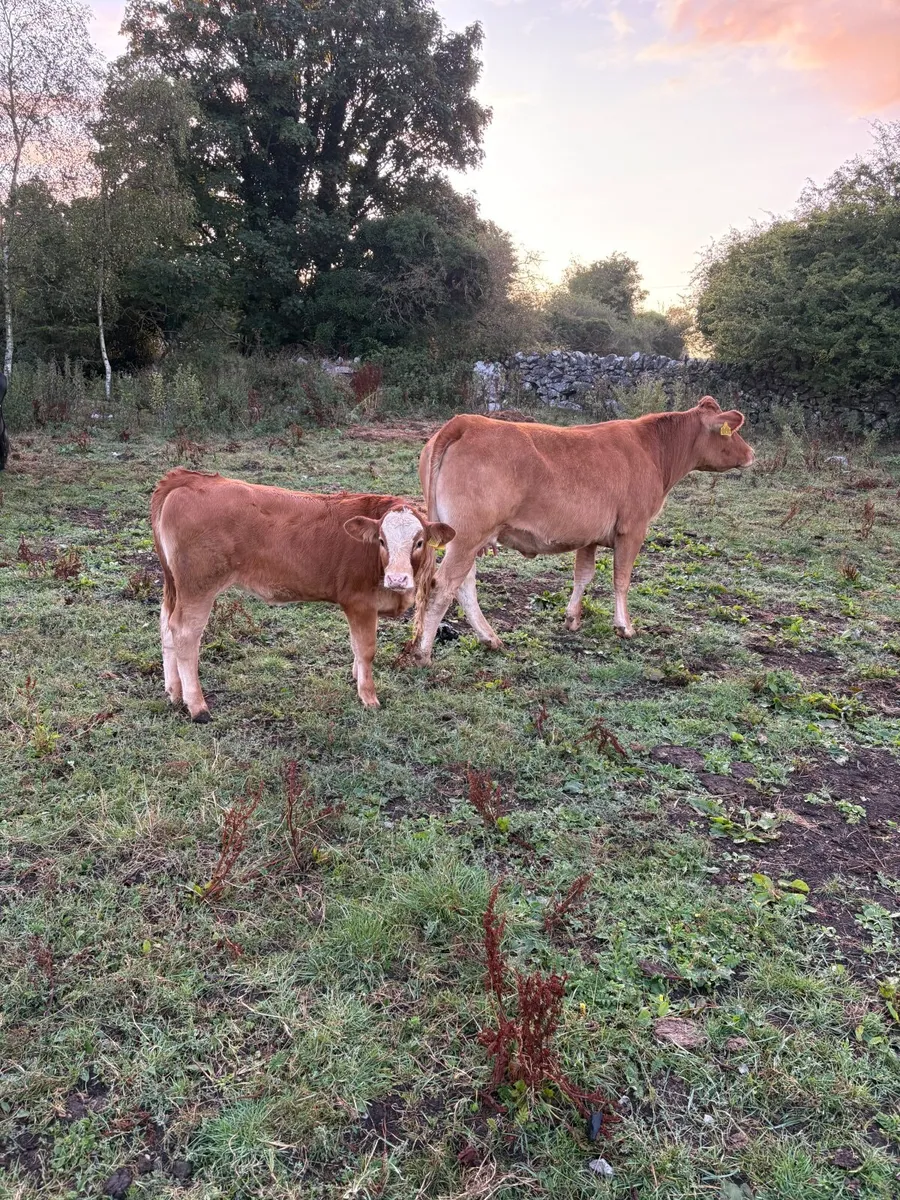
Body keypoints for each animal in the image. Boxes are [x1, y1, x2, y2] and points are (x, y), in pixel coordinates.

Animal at [150, 469, 455, 720]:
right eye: (382, 540)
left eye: (419, 542)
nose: (397, 578)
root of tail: (190, 478)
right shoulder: (359, 603)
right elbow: (366, 650)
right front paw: (368, 696)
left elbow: (355, 647)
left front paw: (356, 678)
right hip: (198, 587)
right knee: (185, 633)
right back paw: (197, 706)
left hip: (175, 586)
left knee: (166, 625)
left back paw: (174, 692)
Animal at [406, 396, 754, 664]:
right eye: (732, 432)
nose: (752, 453)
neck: (653, 450)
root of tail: (465, 422)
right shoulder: (633, 528)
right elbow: (621, 579)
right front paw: (624, 626)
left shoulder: (590, 534)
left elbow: (583, 575)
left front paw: (572, 617)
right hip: (468, 535)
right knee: (443, 585)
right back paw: (423, 653)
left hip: (465, 536)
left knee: (464, 585)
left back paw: (490, 638)